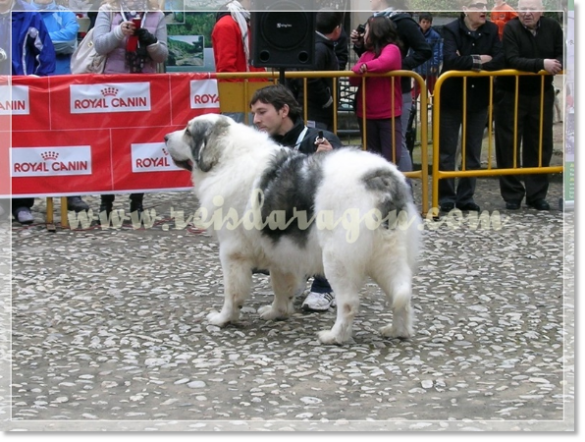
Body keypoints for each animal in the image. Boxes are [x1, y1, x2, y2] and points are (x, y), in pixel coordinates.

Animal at [164, 114, 420, 346]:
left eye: (188, 131)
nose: (165, 137)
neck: (227, 158)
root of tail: (380, 178)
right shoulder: (280, 251)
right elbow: (280, 285)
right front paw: (277, 312)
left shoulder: (232, 252)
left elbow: (232, 291)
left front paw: (223, 318)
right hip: (388, 256)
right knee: (401, 295)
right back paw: (397, 331)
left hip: (337, 259)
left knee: (349, 303)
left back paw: (334, 337)